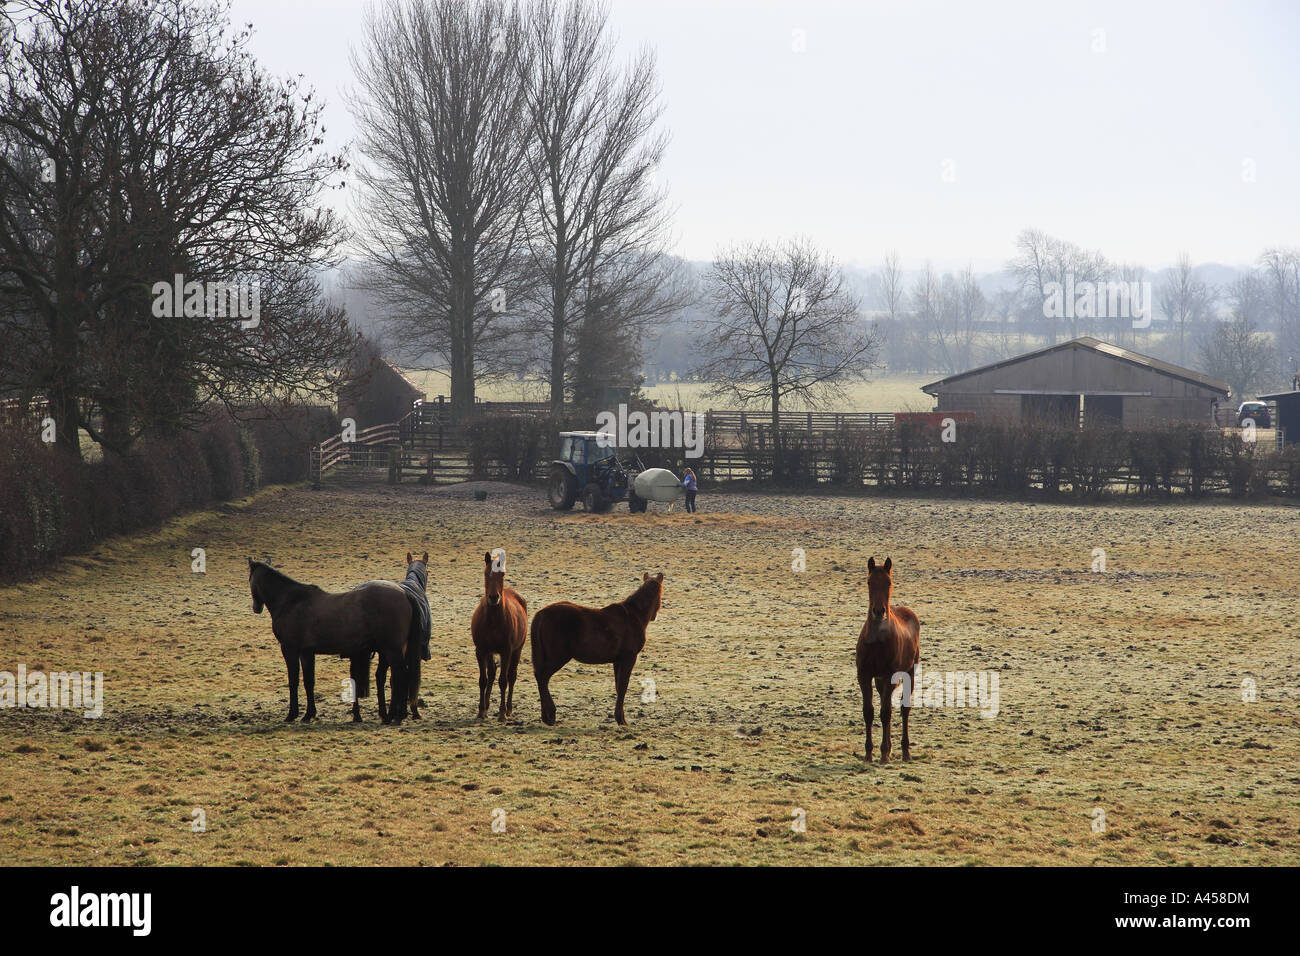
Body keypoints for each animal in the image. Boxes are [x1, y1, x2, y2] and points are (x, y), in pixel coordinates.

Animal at [248, 559, 414, 725]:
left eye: (250, 579)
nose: (256, 607)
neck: (291, 601)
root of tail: (404, 593)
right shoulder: (306, 652)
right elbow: (309, 681)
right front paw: (308, 714)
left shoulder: (290, 649)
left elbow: (293, 681)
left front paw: (292, 714)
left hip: (392, 650)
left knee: (401, 675)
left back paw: (396, 716)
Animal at [375, 552, 430, 723]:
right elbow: (410, 677)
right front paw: (410, 710)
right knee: (402, 675)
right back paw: (398, 712)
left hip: (386, 651)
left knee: (386, 676)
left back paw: (387, 713)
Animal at [470, 551, 528, 720]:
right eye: (486, 573)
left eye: (502, 574)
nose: (494, 597)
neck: (493, 620)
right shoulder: (481, 650)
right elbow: (483, 680)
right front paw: (481, 710)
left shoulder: (506, 651)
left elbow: (503, 681)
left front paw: (502, 713)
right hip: (490, 652)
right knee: (492, 673)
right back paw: (487, 707)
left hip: (517, 650)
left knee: (511, 676)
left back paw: (508, 709)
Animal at [530, 572, 663, 726]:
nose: (654, 616)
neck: (633, 615)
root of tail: (541, 614)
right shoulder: (628, 658)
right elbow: (623, 687)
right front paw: (621, 719)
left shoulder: (617, 661)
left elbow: (618, 687)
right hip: (557, 657)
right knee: (542, 678)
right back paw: (550, 715)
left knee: (541, 679)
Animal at [856, 557, 921, 763]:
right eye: (869, 582)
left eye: (889, 582)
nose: (878, 611)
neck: (877, 639)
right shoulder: (864, 675)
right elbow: (868, 712)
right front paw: (869, 753)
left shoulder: (890, 675)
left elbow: (885, 713)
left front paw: (884, 754)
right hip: (881, 681)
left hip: (909, 673)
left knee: (904, 709)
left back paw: (905, 751)